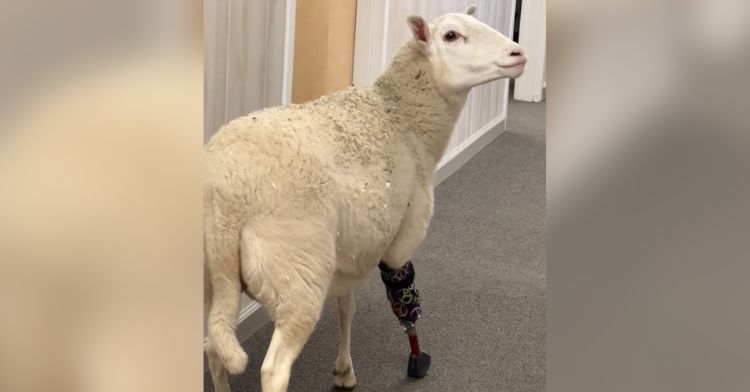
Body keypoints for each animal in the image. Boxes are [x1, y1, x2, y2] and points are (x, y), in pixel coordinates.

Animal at [203, 6, 524, 392]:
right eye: (450, 36)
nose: (518, 54)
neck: (402, 119)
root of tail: (226, 195)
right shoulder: (400, 236)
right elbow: (397, 293)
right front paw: (411, 355)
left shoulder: (353, 247)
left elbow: (347, 306)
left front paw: (344, 371)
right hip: (297, 273)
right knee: (274, 368)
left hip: (214, 281)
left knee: (214, 350)